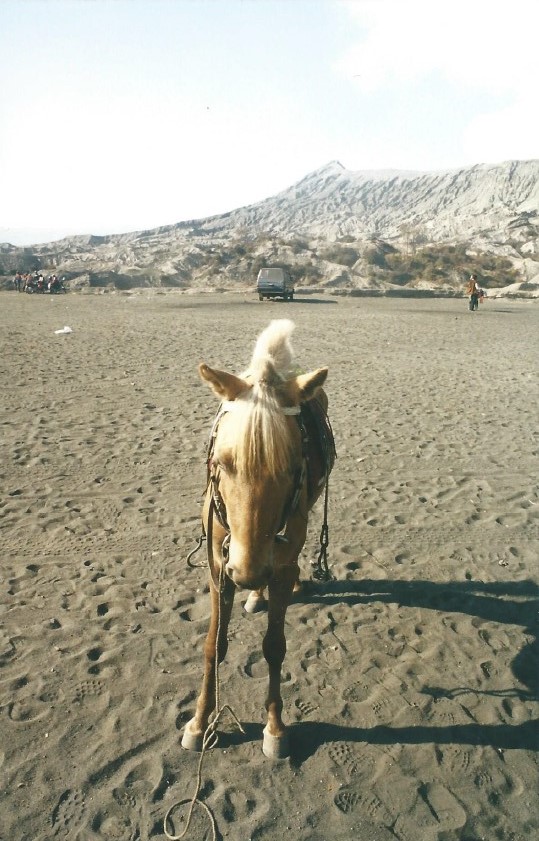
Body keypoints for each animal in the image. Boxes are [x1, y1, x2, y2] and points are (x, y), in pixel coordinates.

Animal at [181, 318, 334, 756]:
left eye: (293, 466)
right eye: (222, 462)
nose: (248, 573)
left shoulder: (275, 565)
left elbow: (274, 646)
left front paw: (275, 727)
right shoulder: (218, 566)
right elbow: (213, 645)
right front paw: (198, 722)